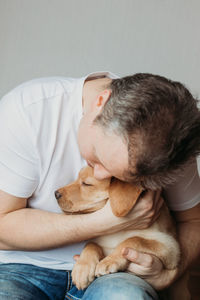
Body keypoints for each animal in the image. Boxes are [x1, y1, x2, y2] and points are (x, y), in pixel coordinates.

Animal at [55, 165, 189, 298]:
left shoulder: (170, 247)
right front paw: (83, 268)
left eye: (87, 184)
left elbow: (134, 239)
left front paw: (110, 260)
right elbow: (91, 244)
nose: (55, 193)